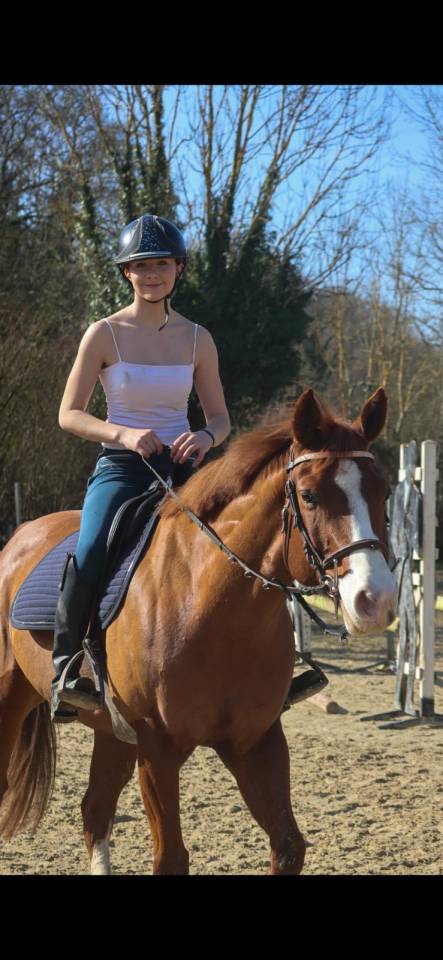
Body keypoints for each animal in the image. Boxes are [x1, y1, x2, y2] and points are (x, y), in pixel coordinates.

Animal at [0, 387, 397, 875]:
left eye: (384, 491)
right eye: (309, 495)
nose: (375, 601)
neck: (213, 609)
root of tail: (21, 536)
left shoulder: (256, 742)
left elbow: (288, 846)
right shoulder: (158, 748)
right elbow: (171, 857)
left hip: (111, 731)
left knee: (95, 811)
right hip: (12, 700)